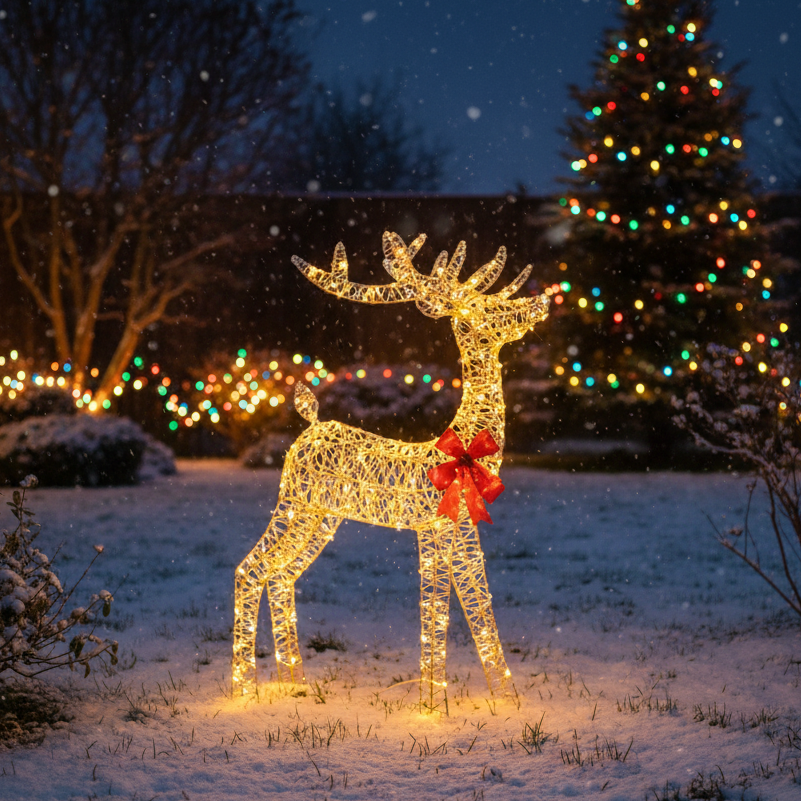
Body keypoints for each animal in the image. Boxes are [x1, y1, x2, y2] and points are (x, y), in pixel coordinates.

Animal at [233, 231, 549, 709]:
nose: (541, 302)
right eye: (484, 309)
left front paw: (508, 701)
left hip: (322, 517)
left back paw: (294, 683)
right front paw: (432, 707)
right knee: (250, 569)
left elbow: (480, 610)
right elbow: (435, 610)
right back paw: (242, 690)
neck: (462, 447)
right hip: (294, 505)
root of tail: (309, 425)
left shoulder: (464, 531)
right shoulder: (432, 530)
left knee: (281, 575)